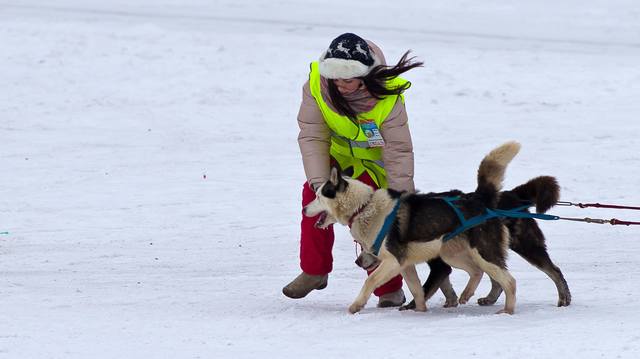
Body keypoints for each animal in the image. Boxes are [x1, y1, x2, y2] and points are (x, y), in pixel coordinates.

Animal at [308, 141, 524, 316]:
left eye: (318, 196)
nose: (304, 208)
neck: (364, 206)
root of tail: (478, 197)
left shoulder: (393, 262)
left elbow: (370, 281)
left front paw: (356, 306)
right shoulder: (404, 265)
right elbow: (417, 289)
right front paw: (420, 310)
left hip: (482, 253)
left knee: (510, 281)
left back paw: (507, 310)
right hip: (451, 254)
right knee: (476, 271)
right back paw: (466, 293)